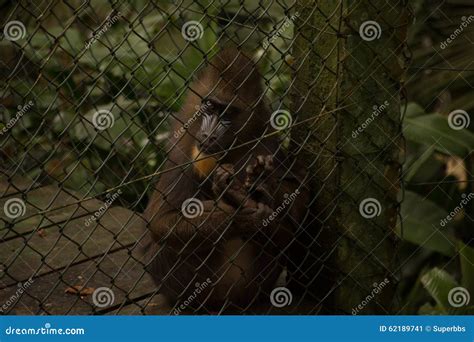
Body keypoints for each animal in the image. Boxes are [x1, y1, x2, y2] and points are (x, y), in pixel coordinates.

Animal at [143, 48, 310, 312]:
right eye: (210, 106)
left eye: (229, 112)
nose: (208, 136)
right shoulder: (182, 151)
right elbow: (160, 221)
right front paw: (238, 215)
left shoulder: (268, 144)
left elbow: (297, 207)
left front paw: (262, 189)